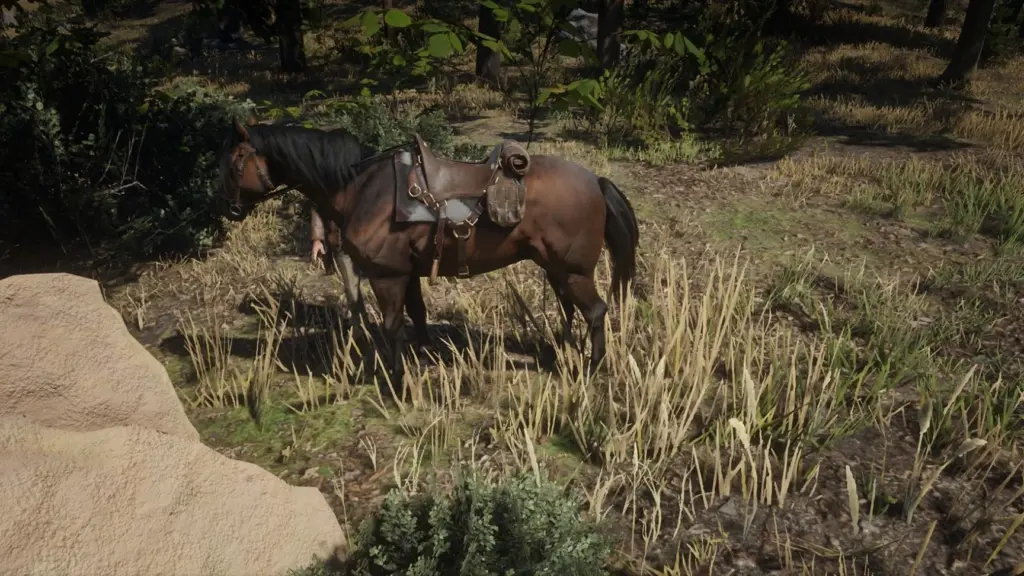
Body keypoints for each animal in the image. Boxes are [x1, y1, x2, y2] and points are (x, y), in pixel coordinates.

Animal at [218, 118, 640, 390]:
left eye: (236, 163)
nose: (231, 209)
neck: (362, 188)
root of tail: (595, 180)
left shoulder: (387, 276)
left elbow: (392, 327)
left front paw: (395, 379)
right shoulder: (407, 275)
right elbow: (417, 315)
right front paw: (422, 356)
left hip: (572, 271)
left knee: (595, 312)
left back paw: (592, 367)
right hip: (555, 267)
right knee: (570, 309)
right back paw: (565, 353)